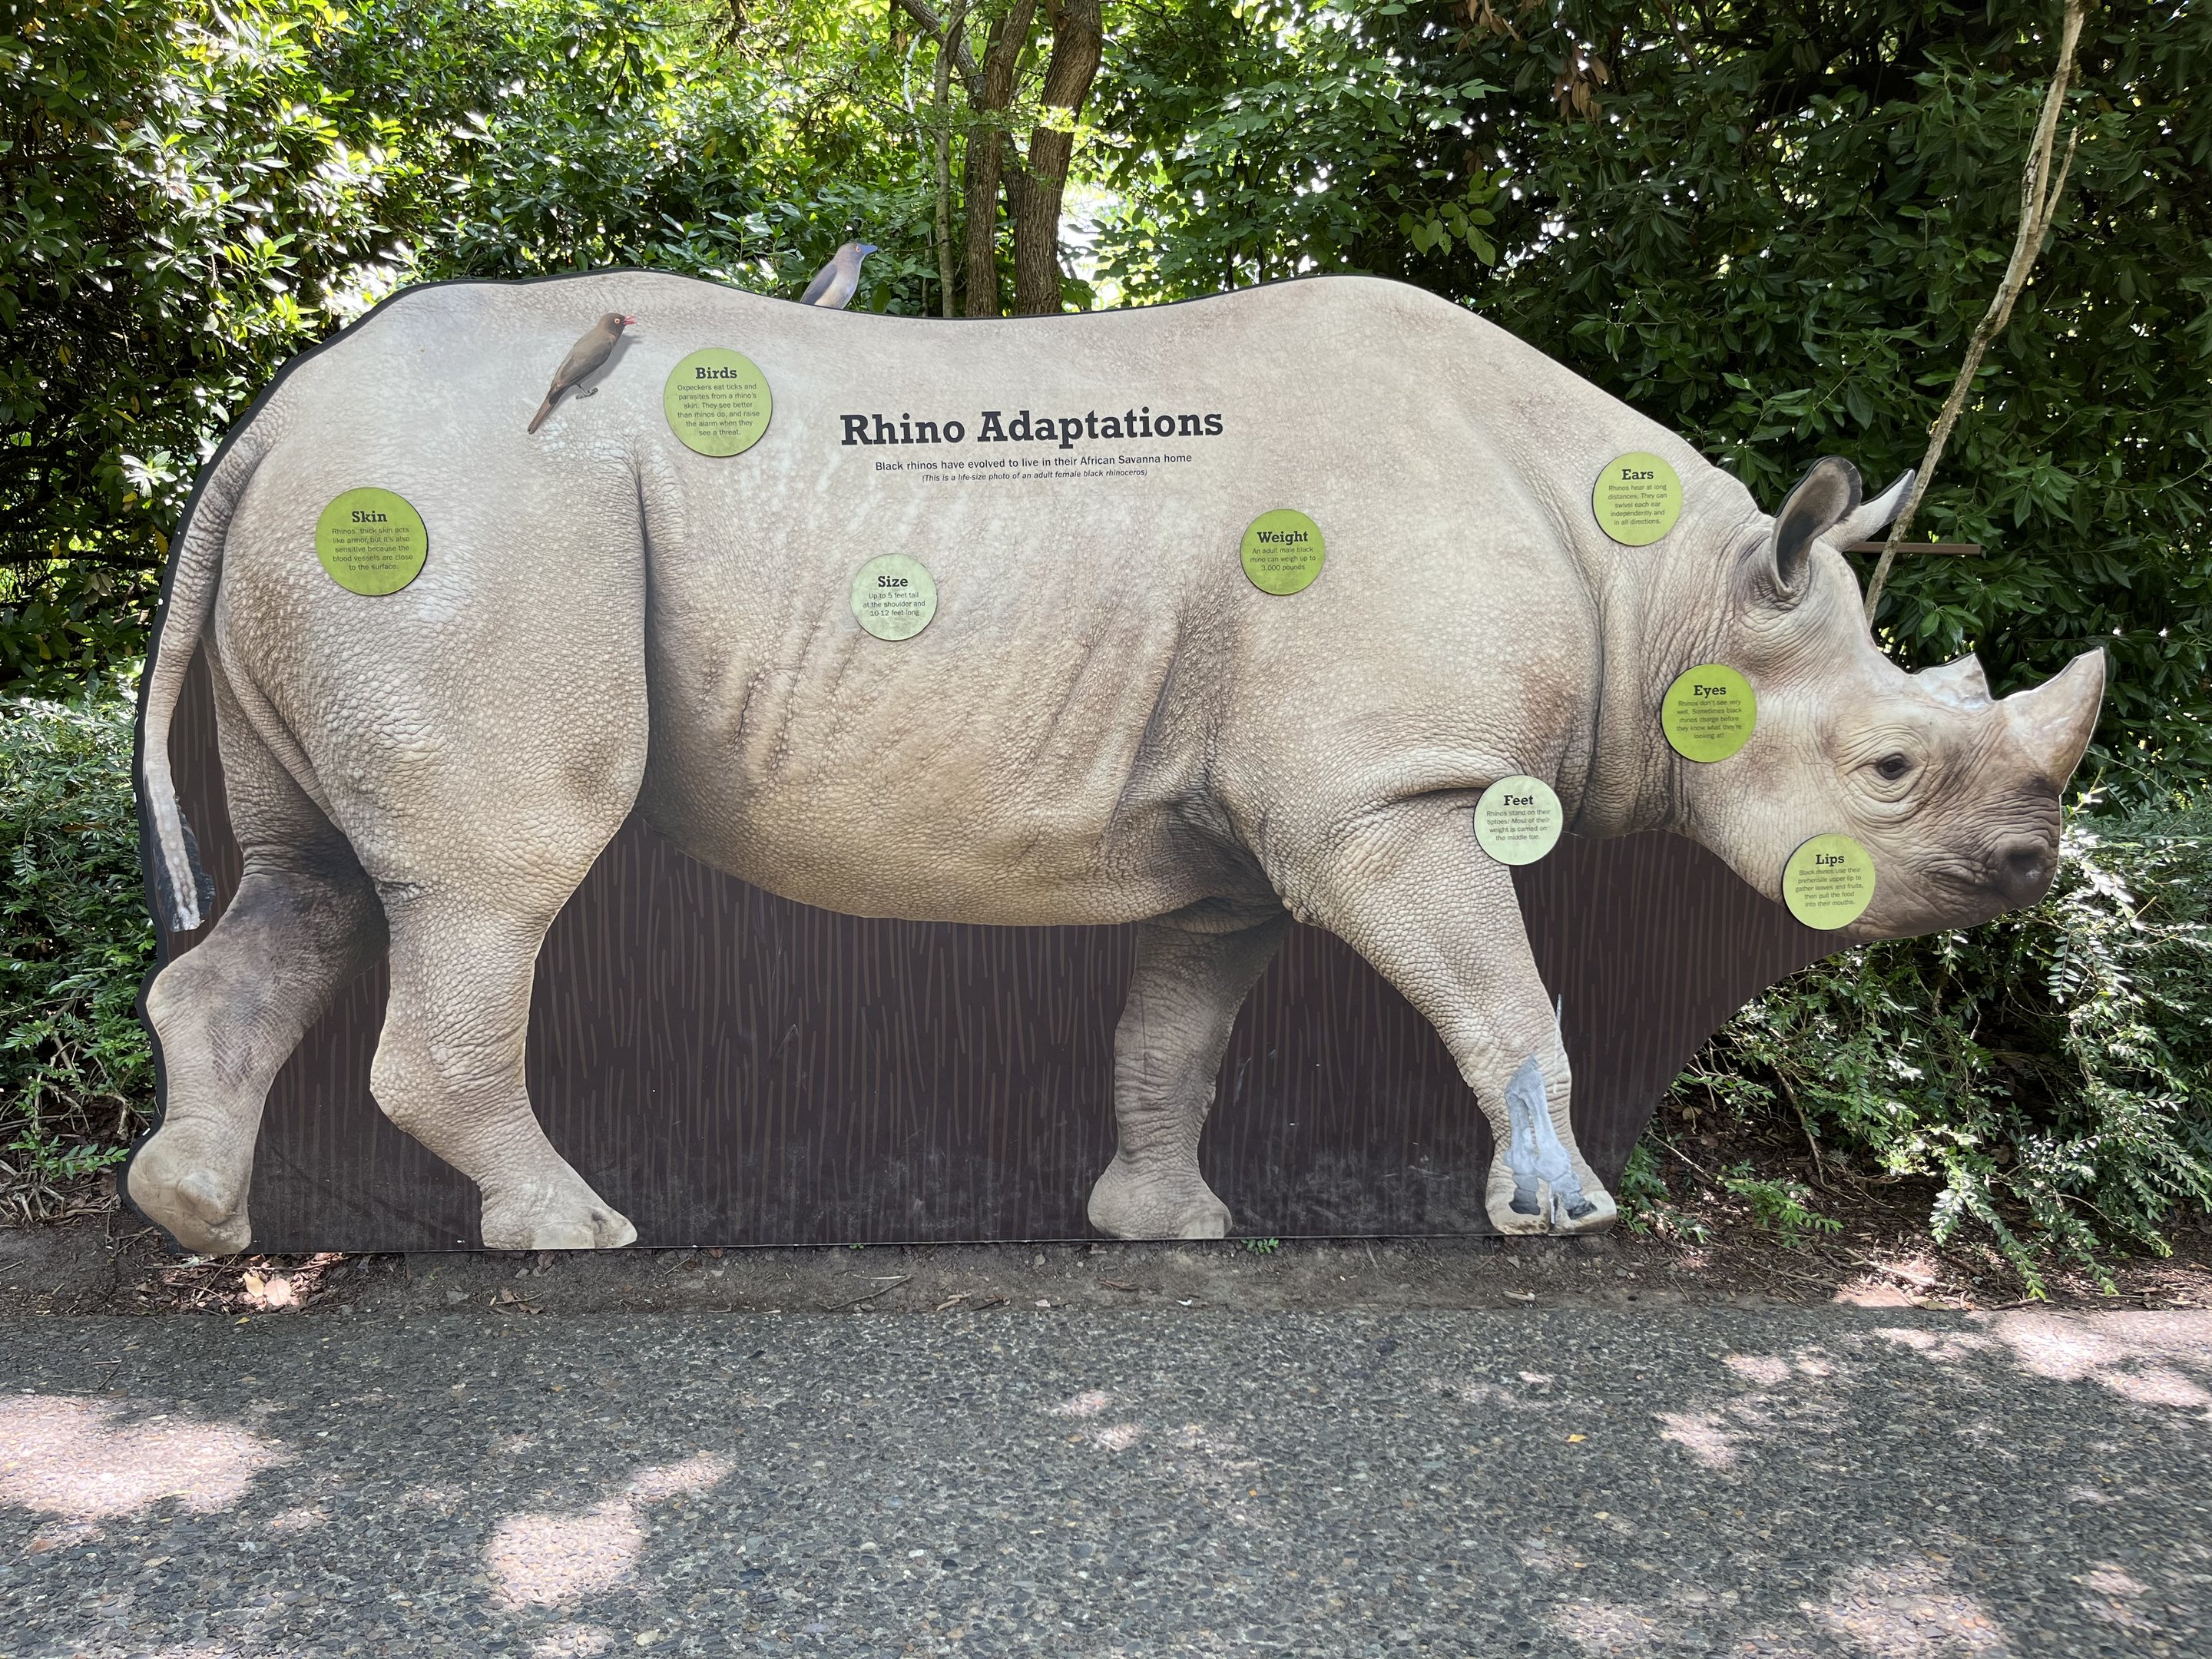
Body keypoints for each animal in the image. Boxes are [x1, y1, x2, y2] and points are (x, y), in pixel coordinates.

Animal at [127, 272, 2105, 1255]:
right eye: (1890, 768)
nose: (2033, 875)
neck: (1669, 594)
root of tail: (275, 416)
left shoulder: (1251, 833)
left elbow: (1178, 1032)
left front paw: (1170, 1228)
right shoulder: (1383, 794)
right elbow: (1508, 992)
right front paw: (1557, 1213)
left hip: (368, 525)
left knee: (304, 883)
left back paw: (198, 1221)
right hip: (470, 522)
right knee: (488, 879)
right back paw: (577, 1232)